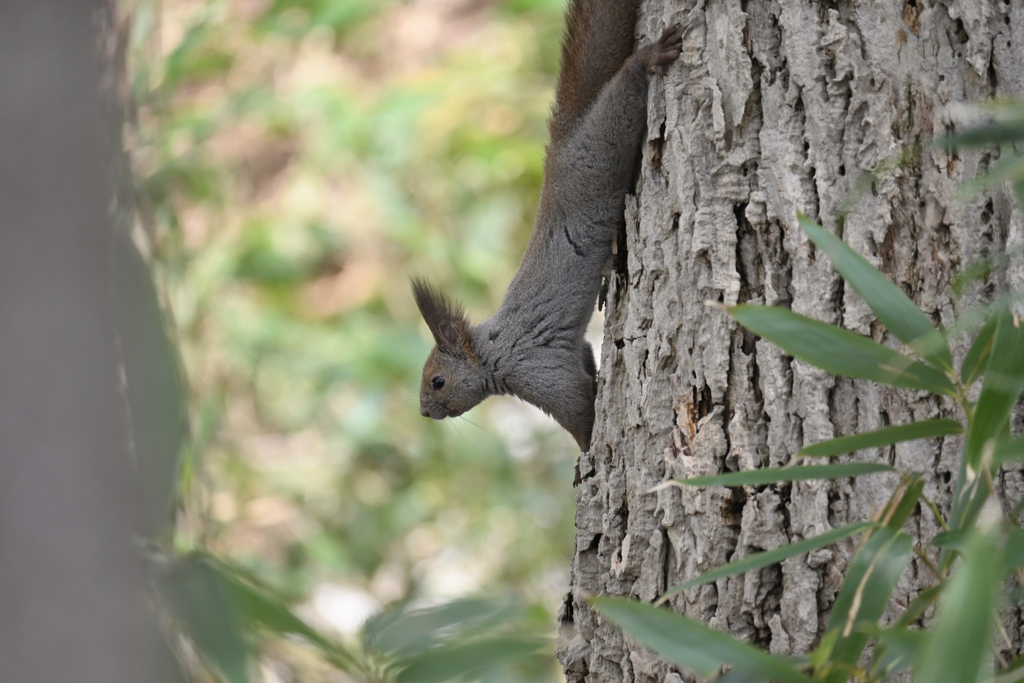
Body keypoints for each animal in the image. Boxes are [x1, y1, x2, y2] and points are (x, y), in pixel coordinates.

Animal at [407, 0, 679, 473]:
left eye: (437, 381)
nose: (424, 412)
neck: (493, 351)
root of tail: (559, 147)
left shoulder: (535, 369)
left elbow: (578, 409)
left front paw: (588, 451)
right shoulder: (569, 354)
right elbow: (584, 361)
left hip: (599, 153)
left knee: (619, 100)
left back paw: (647, 60)